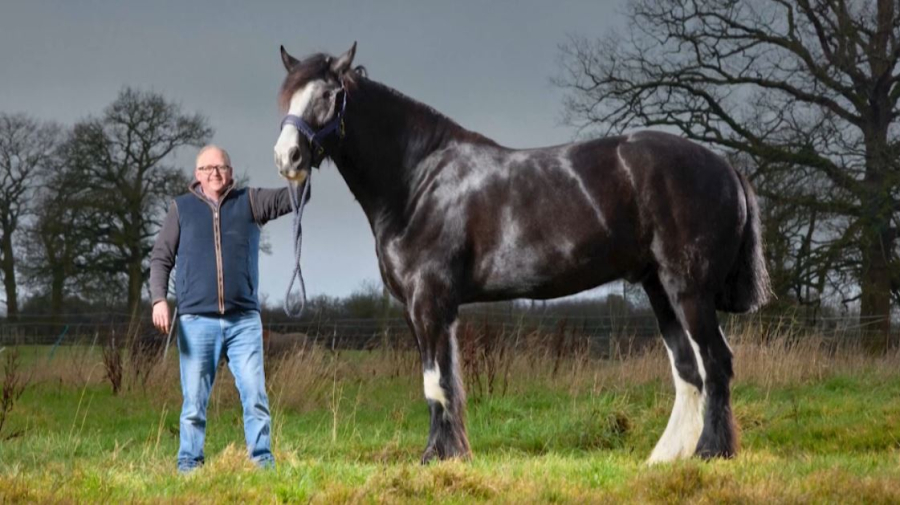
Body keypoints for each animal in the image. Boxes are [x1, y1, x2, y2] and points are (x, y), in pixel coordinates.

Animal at [272, 43, 770, 464]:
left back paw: (711, 452)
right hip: (660, 290)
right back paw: (665, 458)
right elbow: (446, 380)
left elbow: (436, 382)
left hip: (689, 290)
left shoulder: (428, 300)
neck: (418, 181)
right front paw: (454, 454)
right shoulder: (425, 309)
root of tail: (725, 166)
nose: (287, 158)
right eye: (287, 97)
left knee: (716, 363)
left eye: (327, 95)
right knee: (688, 371)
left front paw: (434, 457)